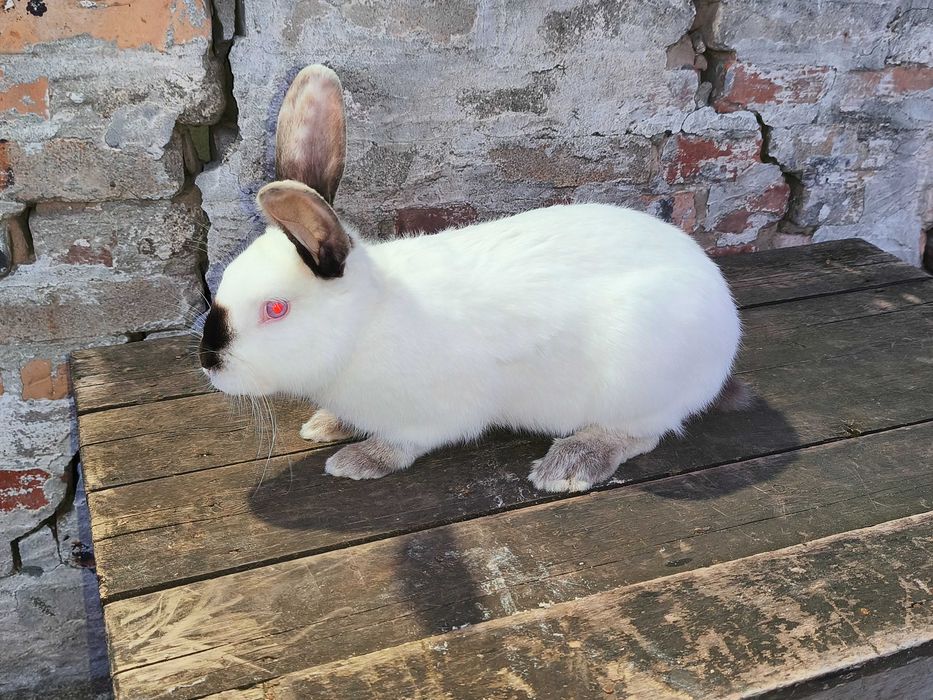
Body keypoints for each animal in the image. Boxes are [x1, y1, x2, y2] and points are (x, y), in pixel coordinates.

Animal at [198, 64, 745, 493]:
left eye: (275, 309)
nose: (209, 363)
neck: (364, 324)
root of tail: (726, 326)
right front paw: (325, 424)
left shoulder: (434, 416)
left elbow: (404, 443)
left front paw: (358, 461)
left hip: (636, 382)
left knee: (643, 432)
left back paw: (570, 465)